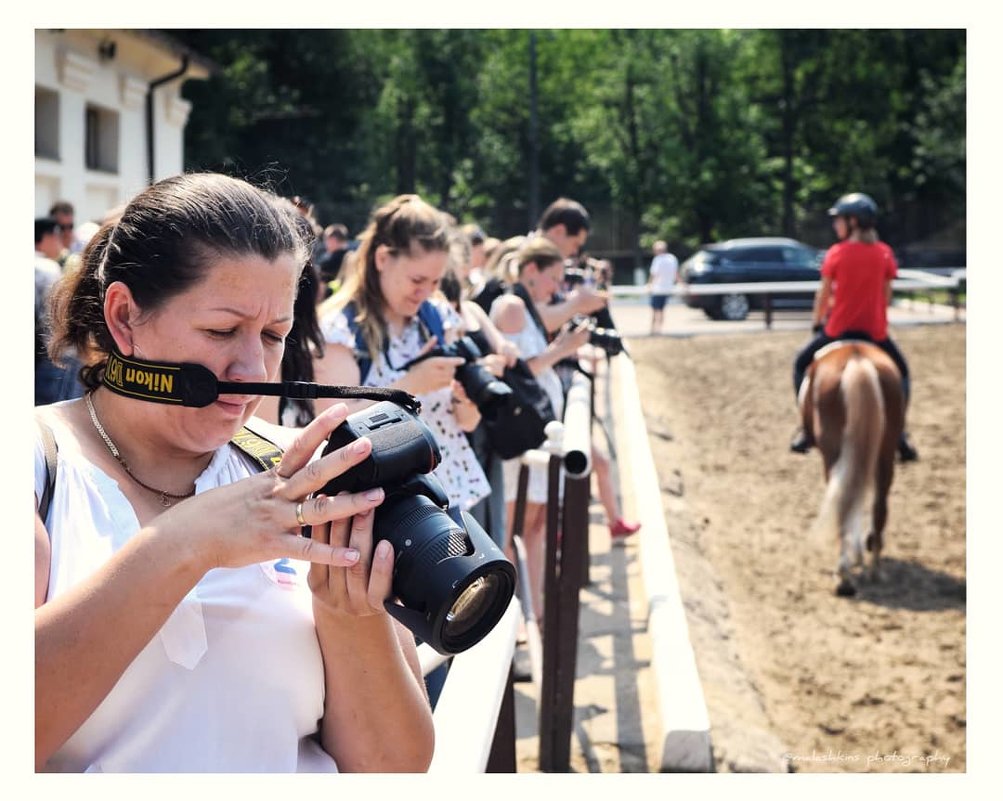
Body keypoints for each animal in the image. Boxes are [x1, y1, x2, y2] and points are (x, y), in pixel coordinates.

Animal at [802, 338, 906, 593]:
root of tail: (857, 358)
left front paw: (855, 555)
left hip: (833, 452)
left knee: (844, 502)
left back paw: (844, 575)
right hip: (885, 451)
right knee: (878, 506)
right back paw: (875, 568)